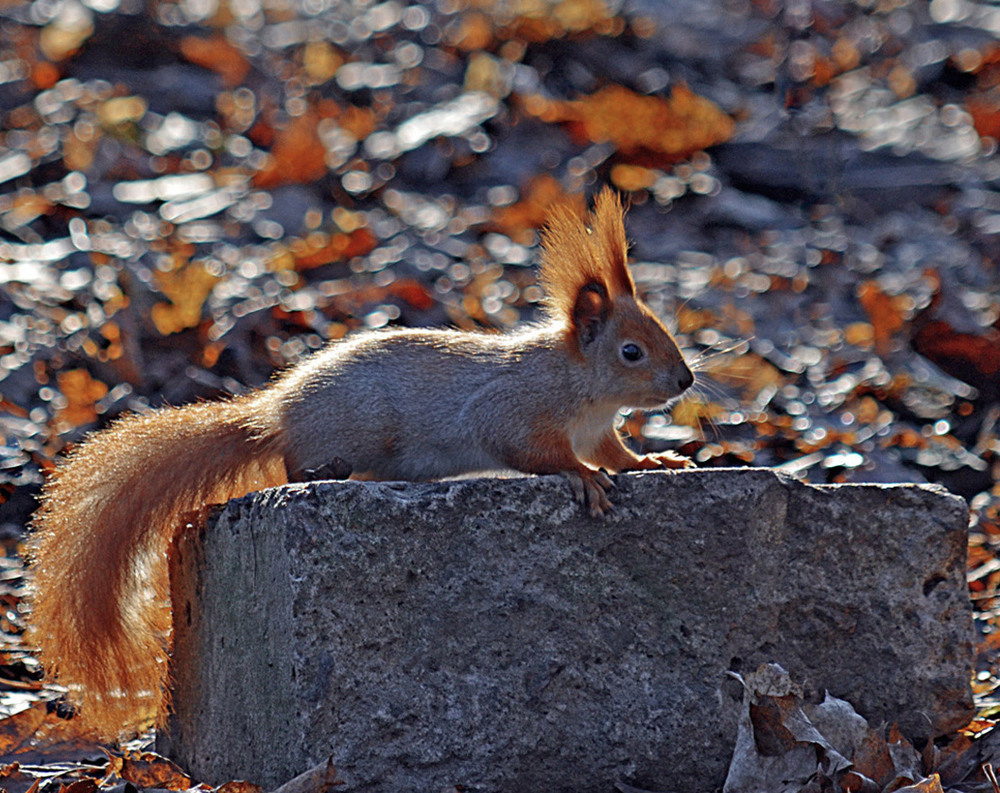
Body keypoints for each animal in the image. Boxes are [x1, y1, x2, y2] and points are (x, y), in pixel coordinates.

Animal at [25, 187, 696, 744]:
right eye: (631, 352)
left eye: (664, 333)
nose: (686, 381)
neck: (583, 388)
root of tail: (276, 413)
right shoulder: (514, 410)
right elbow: (536, 453)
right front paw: (582, 478)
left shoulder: (599, 431)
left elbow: (616, 455)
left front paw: (655, 458)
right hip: (353, 432)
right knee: (295, 465)